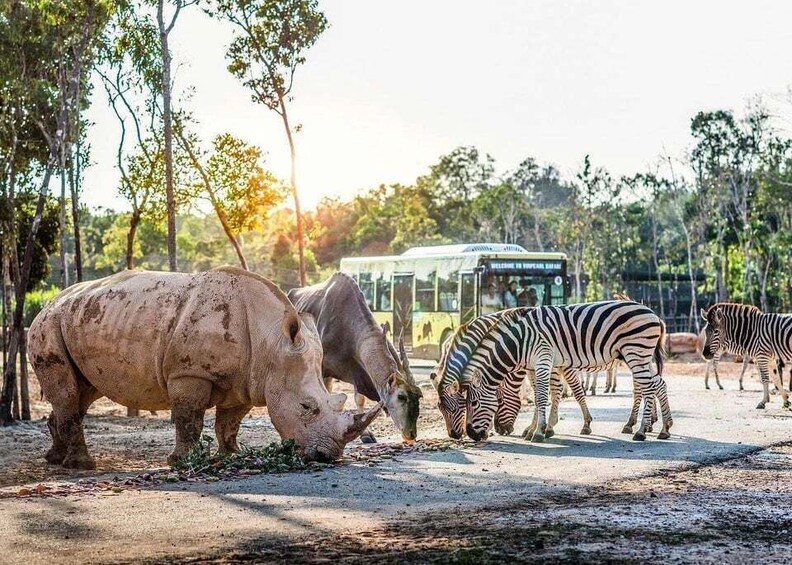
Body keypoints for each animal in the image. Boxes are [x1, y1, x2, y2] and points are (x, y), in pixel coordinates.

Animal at [27, 267, 381, 469]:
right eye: (307, 407)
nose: (327, 457)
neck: (272, 341)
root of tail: (48, 303)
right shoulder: (189, 372)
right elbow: (190, 418)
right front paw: (183, 461)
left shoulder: (247, 381)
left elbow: (230, 422)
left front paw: (232, 456)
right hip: (48, 325)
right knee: (69, 394)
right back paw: (81, 466)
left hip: (82, 319)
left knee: (82, 393)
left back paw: (55, 459)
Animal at [288, 273, 422, 442]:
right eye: (401, 396)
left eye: (419, 396)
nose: (411, 434)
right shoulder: (322, 368)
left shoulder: (358, 371)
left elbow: (359, 399)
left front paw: (366, 434)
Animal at [437, 301, 670, 443]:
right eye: (441, 408)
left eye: (472, 403)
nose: (466, 434)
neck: (518, 342)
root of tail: (653, 313)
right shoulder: (533, 365)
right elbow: (543, 395)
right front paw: (535, 429)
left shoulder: (543, 360)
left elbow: (545, 396)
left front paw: (540, 432)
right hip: (639, 355)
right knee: (657, 384)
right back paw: (662, 428)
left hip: (636, 352)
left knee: (647, 387)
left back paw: (641, 430)